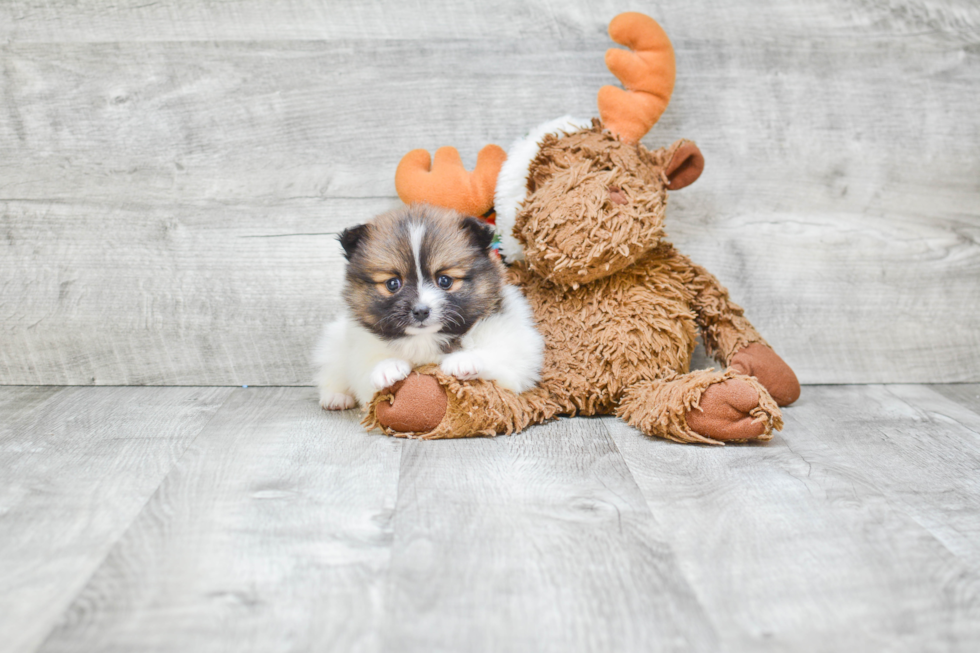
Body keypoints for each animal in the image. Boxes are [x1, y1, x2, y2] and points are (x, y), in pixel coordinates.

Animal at [314, 202, 544, 408]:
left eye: (445, 280)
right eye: (392, 284)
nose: (421, 311)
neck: (425, 338)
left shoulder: (515, 348)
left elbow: (500, 359)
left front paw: (464, 360)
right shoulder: (361, 352)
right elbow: (369, 371)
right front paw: (387, 367)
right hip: (335, 341)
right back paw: (336, 398)